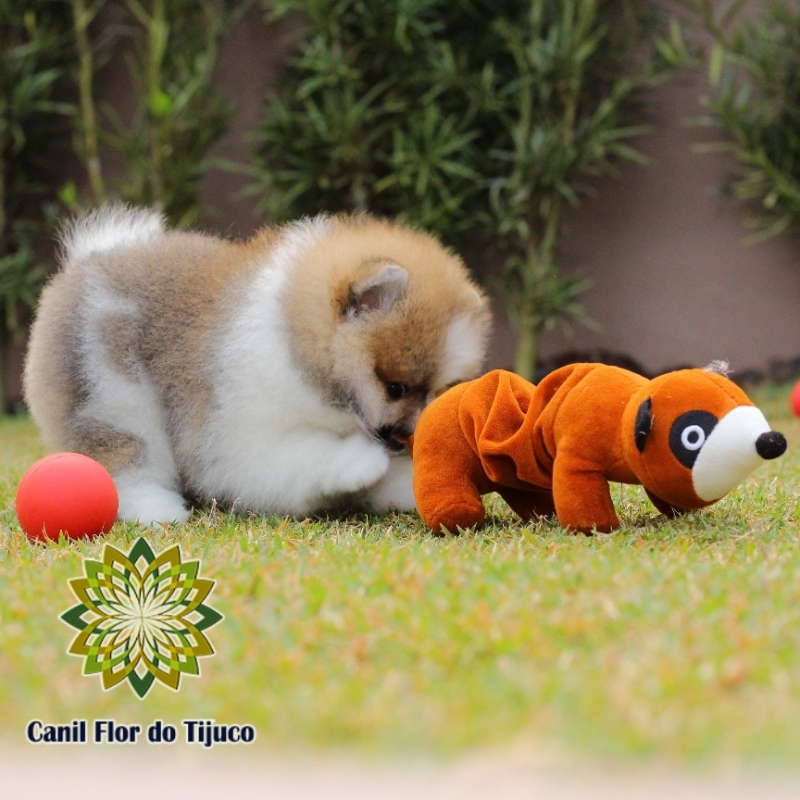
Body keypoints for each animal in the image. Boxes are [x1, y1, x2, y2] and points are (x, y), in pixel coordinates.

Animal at [23, 203, 488, 520]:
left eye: (433, 393)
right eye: (395, 388)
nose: (409, 434)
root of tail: (84, 261)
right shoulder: (234, 437)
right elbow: (295, 460)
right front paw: (359, 462)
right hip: (112, 388)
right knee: (125, 452)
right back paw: (155, 509)